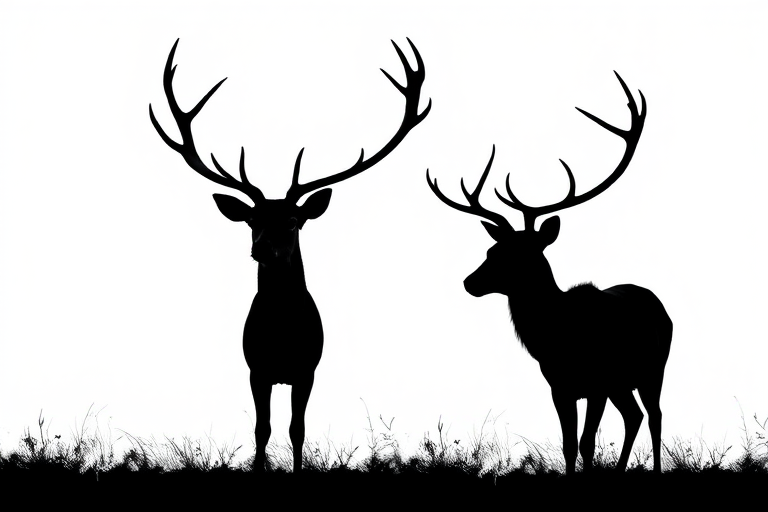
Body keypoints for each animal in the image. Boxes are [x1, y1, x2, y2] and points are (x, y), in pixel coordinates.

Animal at [149, 38, 430, 472]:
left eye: (295, 220)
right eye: (252, 218)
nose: (261, 247)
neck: (282, 334)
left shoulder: (307, 369)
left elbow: (297, 430)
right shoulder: (256, 368)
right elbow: (261, 430)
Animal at [427, 72, 672, 475]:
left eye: (522, 256)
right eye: (492, 250)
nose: (469, 282)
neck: (557, 335)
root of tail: (656, 301)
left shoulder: (596, 382)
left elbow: (587, 443)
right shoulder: (559, 385)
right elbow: (569, 445)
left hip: (653, 368)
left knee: (654, 416)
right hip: (622, 383)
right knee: (634, 416)